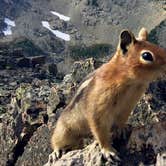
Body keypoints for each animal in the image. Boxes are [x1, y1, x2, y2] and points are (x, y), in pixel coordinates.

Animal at [49, 28, 166, 162]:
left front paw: (122, 129)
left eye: (160, 48)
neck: (131, 82)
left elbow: (121, 120)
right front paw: (108, 150)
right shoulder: (98, 108)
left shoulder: (128, 106)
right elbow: (100, 131)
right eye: (146, 55)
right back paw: (55, 152)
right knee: (57, 141)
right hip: (64, 130)